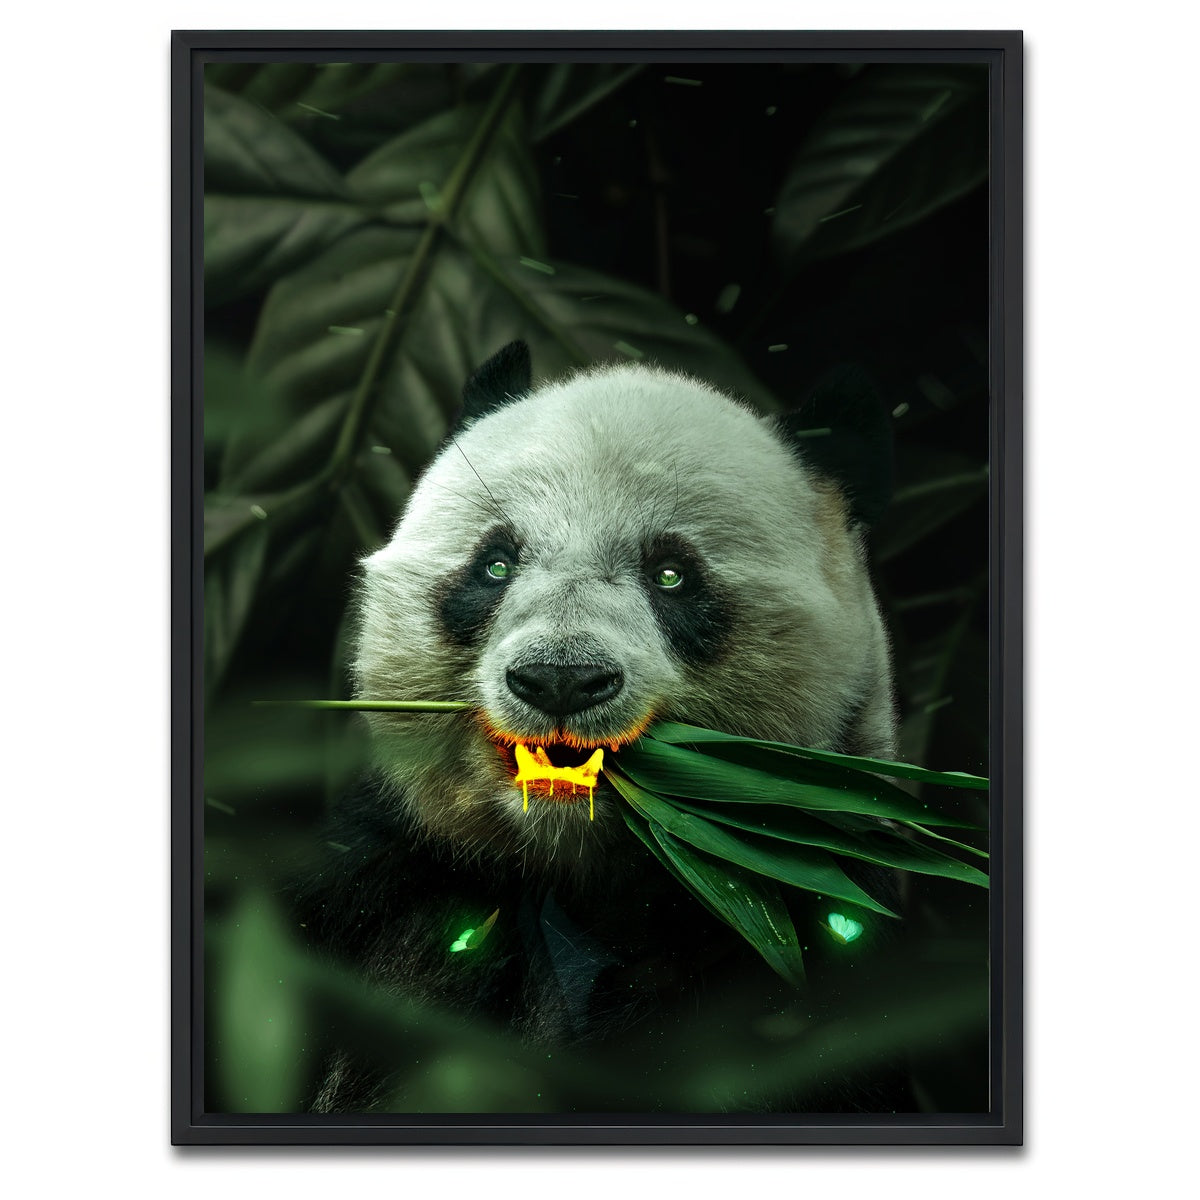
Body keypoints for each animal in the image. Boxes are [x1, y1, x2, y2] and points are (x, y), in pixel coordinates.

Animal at [295, 341, 900, 1113]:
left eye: (671, 575)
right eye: (496, 563)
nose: (560, 679)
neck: (579, 869)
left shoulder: (804, 929)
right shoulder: (386, 873)